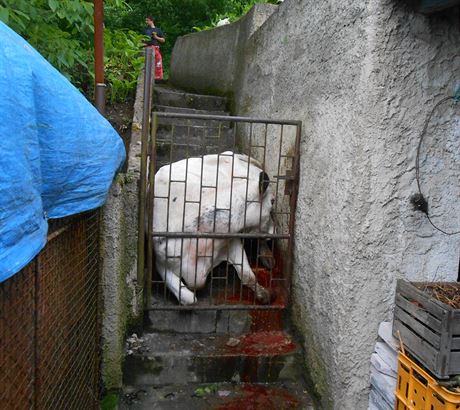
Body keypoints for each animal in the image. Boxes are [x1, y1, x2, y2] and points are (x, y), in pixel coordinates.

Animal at [152, 151, 274, 304]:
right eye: (272, 202)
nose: (274, 232)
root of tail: (231, 154)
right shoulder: (161, 262)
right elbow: (189, 299)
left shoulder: (231, 242)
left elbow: (247, 275)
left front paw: (263, 294)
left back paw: (267, 257)